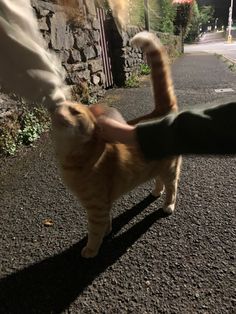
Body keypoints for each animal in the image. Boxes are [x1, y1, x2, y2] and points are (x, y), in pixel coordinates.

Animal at [50, 31, 182, 258]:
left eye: (74, 111)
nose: (56, 108)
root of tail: (161, 111)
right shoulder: (103, 203)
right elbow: (107, 221)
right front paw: (107, 232)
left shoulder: (97, 206)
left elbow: (95, 230)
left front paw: (91, 249)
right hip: (157, 166)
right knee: (160, 180)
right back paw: (156, 192)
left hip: (170, 168)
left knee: (172, 186)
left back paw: (168, 205)